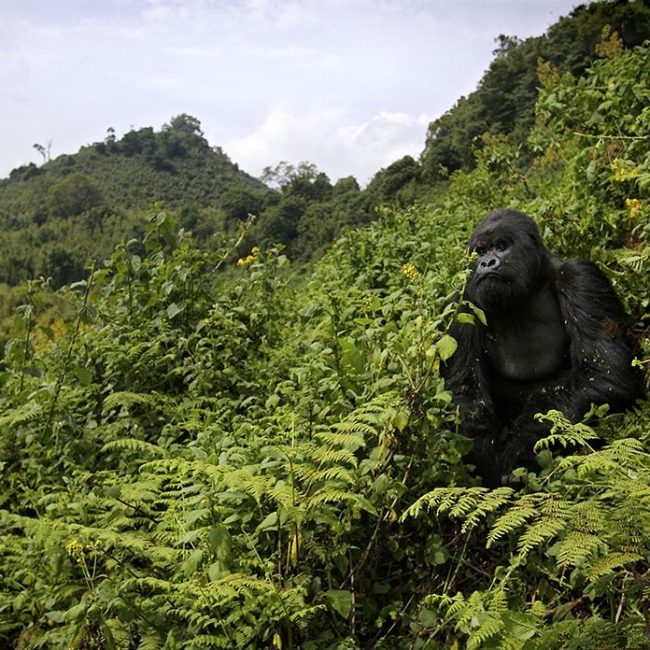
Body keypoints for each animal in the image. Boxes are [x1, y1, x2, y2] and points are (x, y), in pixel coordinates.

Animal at [442, 210, 640, 484]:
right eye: (480, 251)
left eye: (501, 246)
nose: (487, 263)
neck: (531, 285)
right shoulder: (462, 304)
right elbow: (464, 394)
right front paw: (493, 466)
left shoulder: (580, 276)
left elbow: (604, 372)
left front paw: (515, 458)